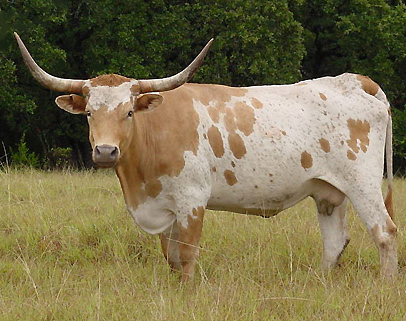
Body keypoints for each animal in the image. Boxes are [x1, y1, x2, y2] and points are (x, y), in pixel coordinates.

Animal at [15, 32, 396, 280]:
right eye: (90, 113)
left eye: (129, 112)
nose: (106, 151)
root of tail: (355, 80)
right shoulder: (165, 206)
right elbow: (170, 256)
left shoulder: (192, 199)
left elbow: (186, 255)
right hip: (328, 191)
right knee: (335, 242)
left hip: (363, 183)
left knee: (385, 231)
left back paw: (386, 285)